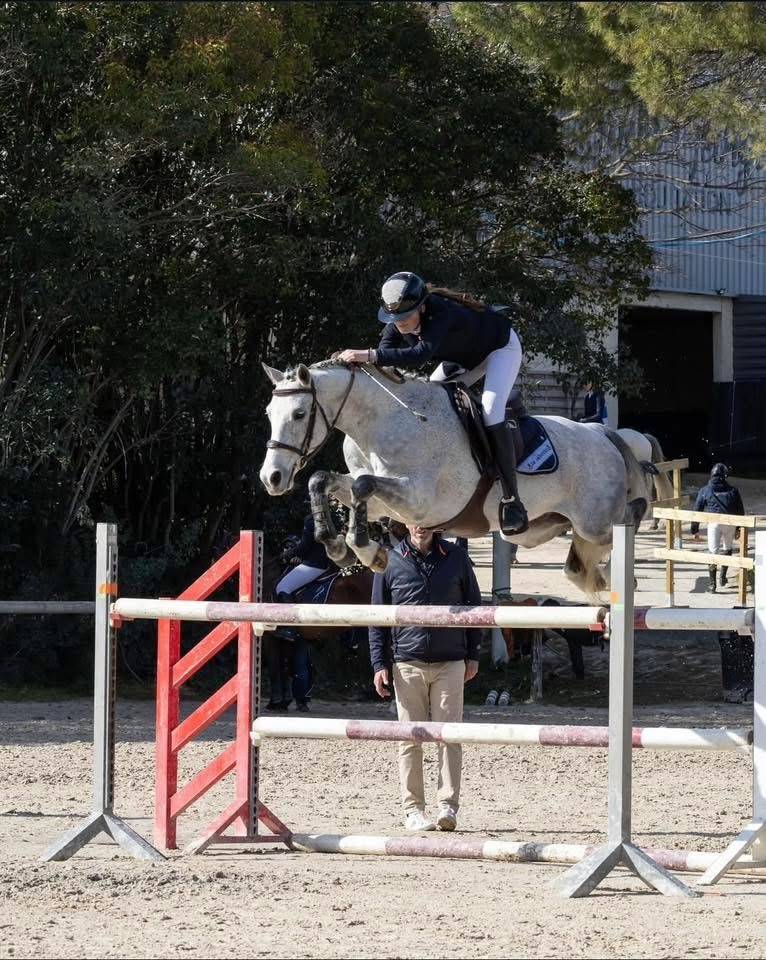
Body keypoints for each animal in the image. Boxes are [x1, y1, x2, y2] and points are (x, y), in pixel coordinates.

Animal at [259, 361, 653, 599]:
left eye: (299, 413)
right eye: (268, 412)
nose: (272, 478)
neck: (378, 424)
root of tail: (603, 434)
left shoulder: (421, 502)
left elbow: (361, 485)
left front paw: (368, 553)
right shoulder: (384, 504)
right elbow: (324, 480)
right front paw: (340, 548)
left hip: (594, 521)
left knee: (629, 515)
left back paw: (622, 573)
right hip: (542, 528)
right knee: (577, 563)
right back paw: (601, 579)